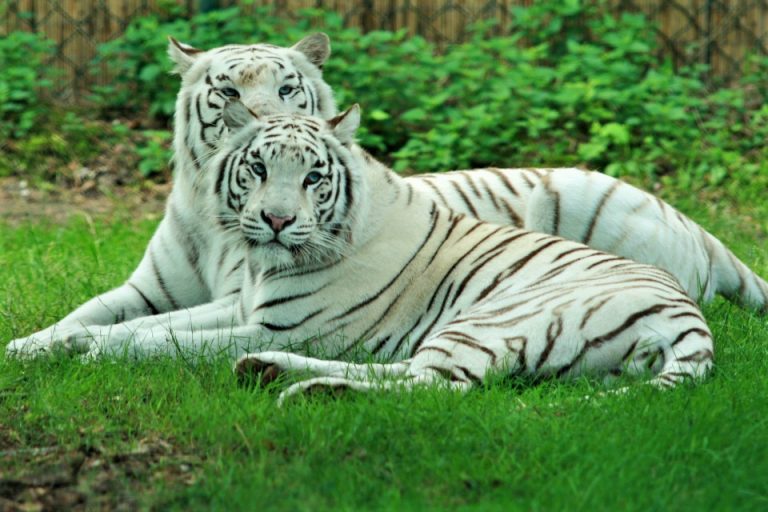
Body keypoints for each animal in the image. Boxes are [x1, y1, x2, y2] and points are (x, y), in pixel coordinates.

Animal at [6, 33, 765, 358]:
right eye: (225, 89)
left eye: (287, 86)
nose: (260, 117)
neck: (215, 215)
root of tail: (702, 232)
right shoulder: (156, 290)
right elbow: (89, 316)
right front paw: (32, 346)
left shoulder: (246, 307)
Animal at [46, 102, 715, 405]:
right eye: (258, 168)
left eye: (313, 177)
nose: (277, 220)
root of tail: (691, 319)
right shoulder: (245, 311)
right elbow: (156, 324)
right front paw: (72, 340)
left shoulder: (279, 323)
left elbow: (168, 341)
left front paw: (92, 352)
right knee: (411, 373)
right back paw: (270, 372)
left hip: (491, 320)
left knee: (437, 388)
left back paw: (309, 391)